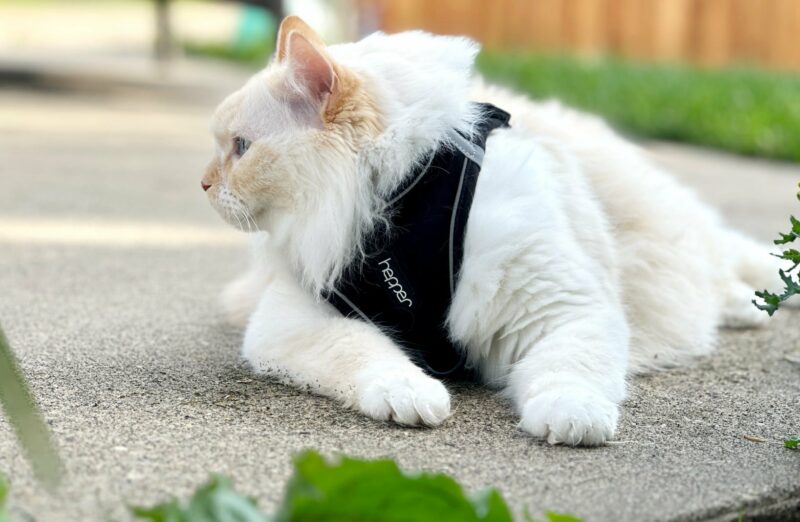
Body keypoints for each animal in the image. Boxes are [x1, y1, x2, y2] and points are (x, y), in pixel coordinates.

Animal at [202, 17, 780, 446]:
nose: (203, 184)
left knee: (717, 261)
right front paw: (412, 396)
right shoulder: (291, 322)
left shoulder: (564, 308)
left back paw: (756, 302)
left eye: (241, 148)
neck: (398, 202)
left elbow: (570, 369)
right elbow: (364, 352)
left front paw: (572, 418)